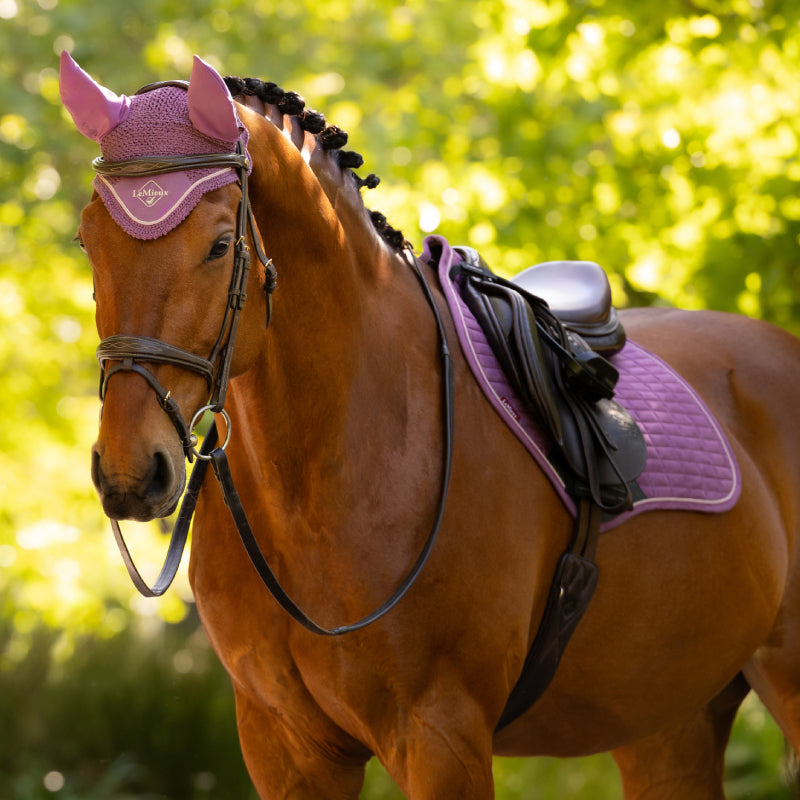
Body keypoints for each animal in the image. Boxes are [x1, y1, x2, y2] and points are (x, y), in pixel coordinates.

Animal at [60, 51, 800, 799]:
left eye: (217, 246)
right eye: (88, 241)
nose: (130, 470)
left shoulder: (441, 734)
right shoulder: (283, 744)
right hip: (666, 721)